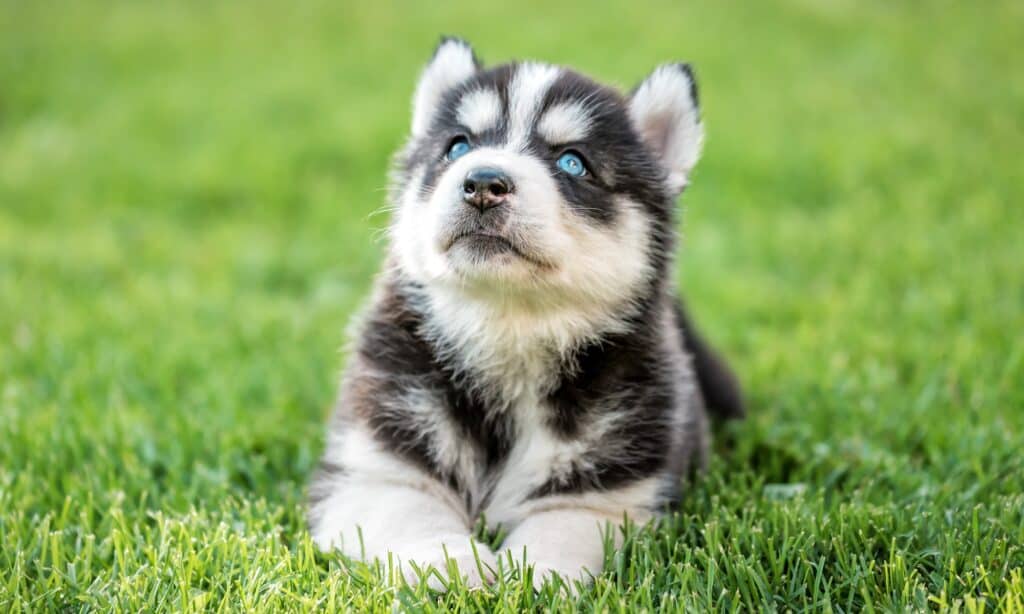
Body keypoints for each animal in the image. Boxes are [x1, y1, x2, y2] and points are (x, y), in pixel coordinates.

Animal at [307, 38, 741, 589]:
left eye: (573, 162)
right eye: (458, 146)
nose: (482, 182)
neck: (507, 329)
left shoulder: (615, 491)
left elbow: (566, 525)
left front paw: (538, 573)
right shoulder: (372, 464)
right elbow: (410, 512)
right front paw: (450, 561)